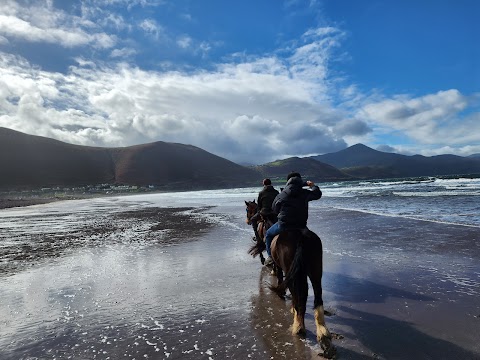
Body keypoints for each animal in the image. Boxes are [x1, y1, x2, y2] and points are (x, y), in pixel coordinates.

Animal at [244, 202, 334, 358]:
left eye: (249, 210)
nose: (249, 221)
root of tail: (301, 237)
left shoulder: (280, 266)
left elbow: (280, 277)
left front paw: (281, 293)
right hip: (315, 270)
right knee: (316, 295)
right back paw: (322, 331)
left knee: (298, 294)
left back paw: (298, 326)